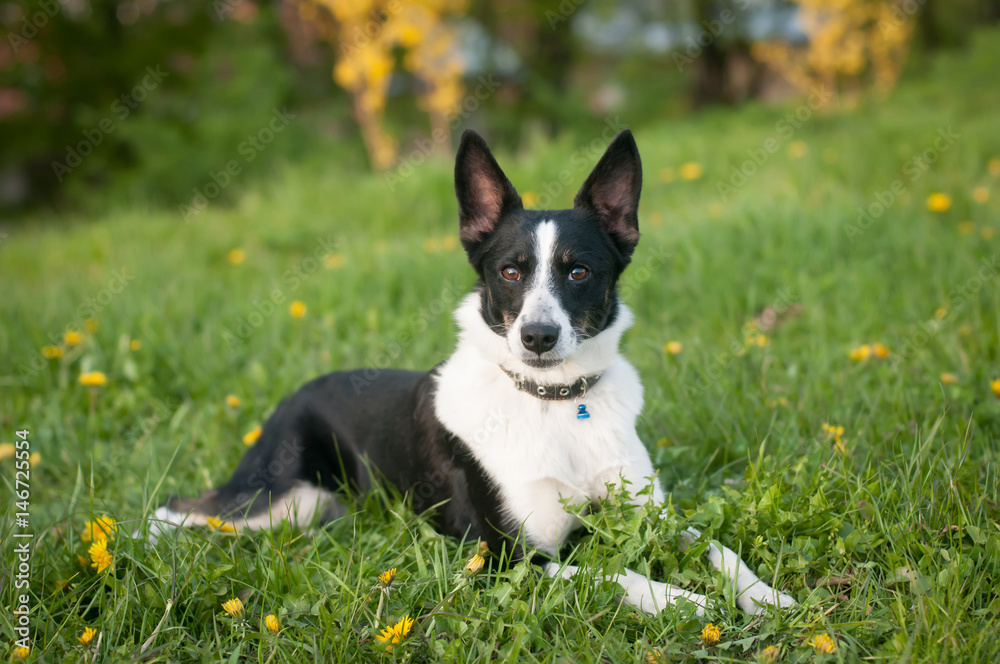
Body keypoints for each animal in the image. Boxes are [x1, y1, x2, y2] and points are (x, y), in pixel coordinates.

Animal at [145, 130, 792, 616]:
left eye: (579, 271)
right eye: (509, 272)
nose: (537, 337)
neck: (555, 401)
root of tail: (297, 391)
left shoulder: (650, 514)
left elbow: (718, 548)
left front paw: (767, 596)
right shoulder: (507, 555)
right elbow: (612, 574)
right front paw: (684, 601)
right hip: (281, 500)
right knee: (182, 507)